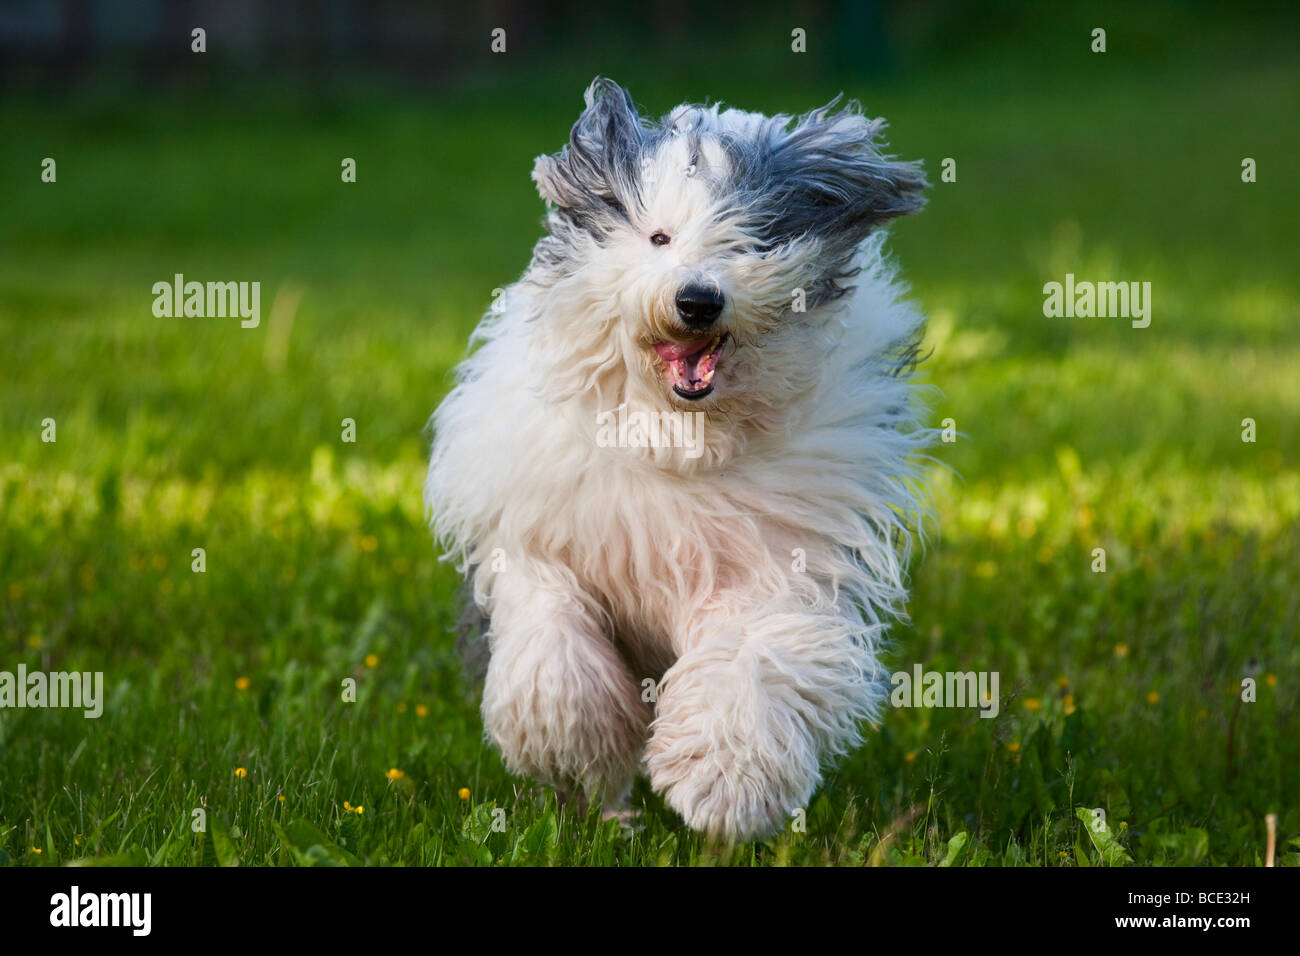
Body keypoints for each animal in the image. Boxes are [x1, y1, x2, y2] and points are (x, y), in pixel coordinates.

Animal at [431, 78, 930, 842]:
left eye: (752, 237)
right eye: (658, 237)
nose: (698, 299)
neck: (676, 438)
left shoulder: (775, 559)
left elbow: (749, 659)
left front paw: (721, 782)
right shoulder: (540, 534)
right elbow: (552, 630)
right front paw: (574, 741)